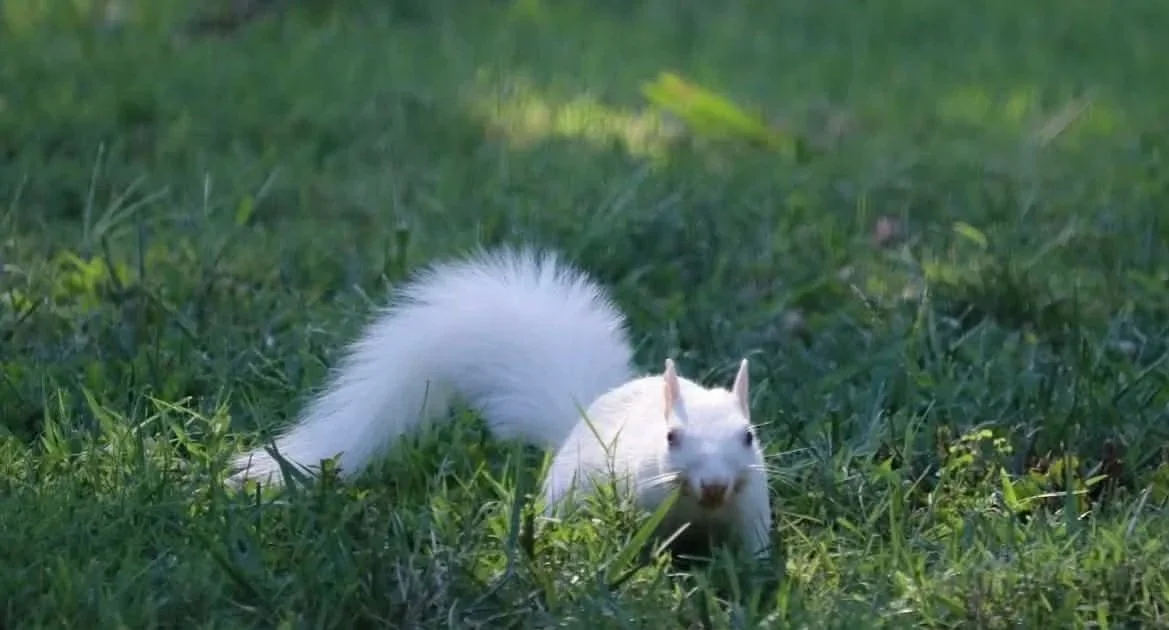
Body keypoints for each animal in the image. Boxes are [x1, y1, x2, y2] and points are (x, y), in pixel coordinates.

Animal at [229, 247, 773, 559]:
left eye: (748, 437)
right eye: (671, 438)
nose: (714, 487)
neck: (698, 512)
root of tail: (577, 423)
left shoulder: (752, 507)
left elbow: (755, 547)